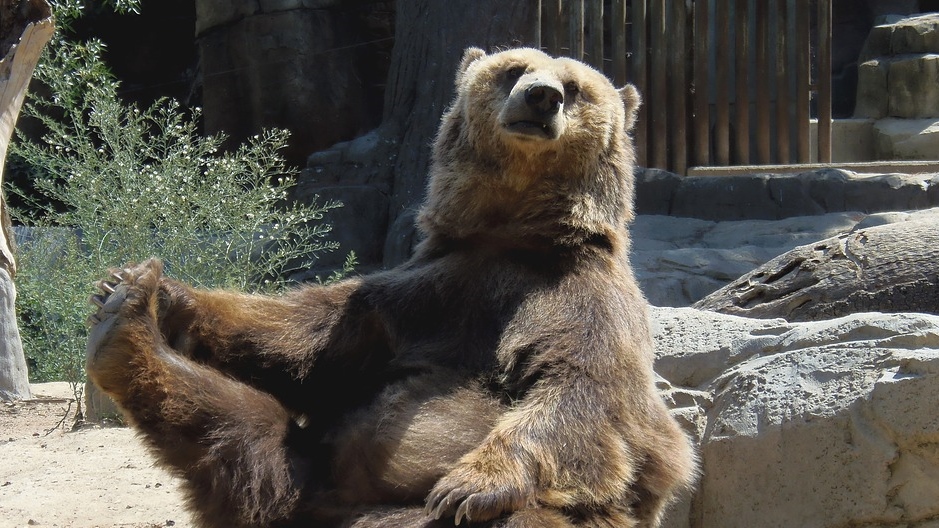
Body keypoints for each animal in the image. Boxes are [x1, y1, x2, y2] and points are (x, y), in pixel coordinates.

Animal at [85, 47, 697, 528]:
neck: (512, 234)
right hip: (303, 475)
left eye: (575, 87)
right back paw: (125, 318)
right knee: (238, 427)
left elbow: (581, 390)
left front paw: (470, 484)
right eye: (514, 70)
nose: (542, 97)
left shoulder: (579, 301)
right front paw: (156, 290)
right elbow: (307, 337)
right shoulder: (426, 291)